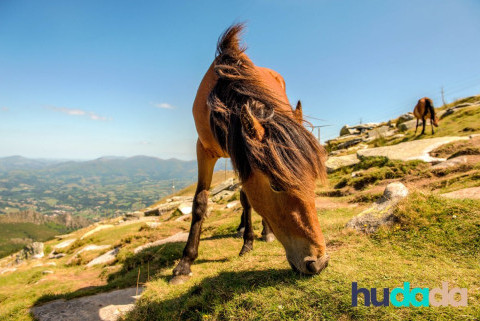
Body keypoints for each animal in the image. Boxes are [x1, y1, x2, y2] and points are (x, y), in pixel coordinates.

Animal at [170, 24, 330, 282]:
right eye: (275, 185)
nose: (318, 263)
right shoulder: (204, 150)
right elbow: (200, 202)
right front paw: (185, 263)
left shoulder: (243, 156)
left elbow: (247, 198)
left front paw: (250, 241)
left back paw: (263, 232)